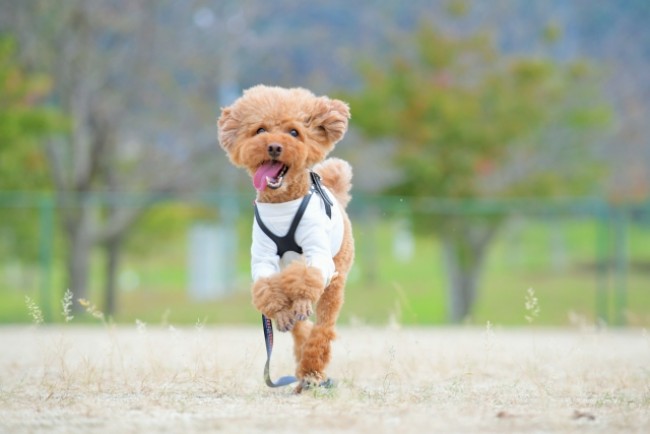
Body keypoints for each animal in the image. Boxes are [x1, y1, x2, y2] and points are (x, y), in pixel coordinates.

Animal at [215, 84, 352, 390]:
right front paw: (282, 313)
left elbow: (310, 278)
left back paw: (312, 371)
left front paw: (301, 302)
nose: (275, 147)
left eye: (294, 132)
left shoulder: (317, 255)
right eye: (260, 130)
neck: (282, 204)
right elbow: (266, 287)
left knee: (323, 326)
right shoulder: (263, 258)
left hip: (337, 275)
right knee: (301, 330)